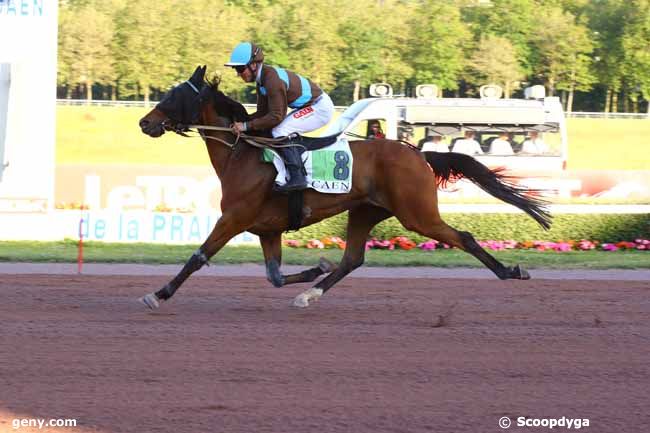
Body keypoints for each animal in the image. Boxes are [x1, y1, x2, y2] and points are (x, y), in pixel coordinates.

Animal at [139, 65, 548, 308]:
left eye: (173, 96)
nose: (145, 122)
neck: (242, 153)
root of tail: (418, 153)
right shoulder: (267, 228)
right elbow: (274, 276)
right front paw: (314, 269)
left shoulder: (235, 218)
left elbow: (198, 256)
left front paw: (159, 294)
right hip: (365, 211)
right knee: (353, 258)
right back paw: (310, 294)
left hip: (417, 215)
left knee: (463, 236)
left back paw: (512, 272)